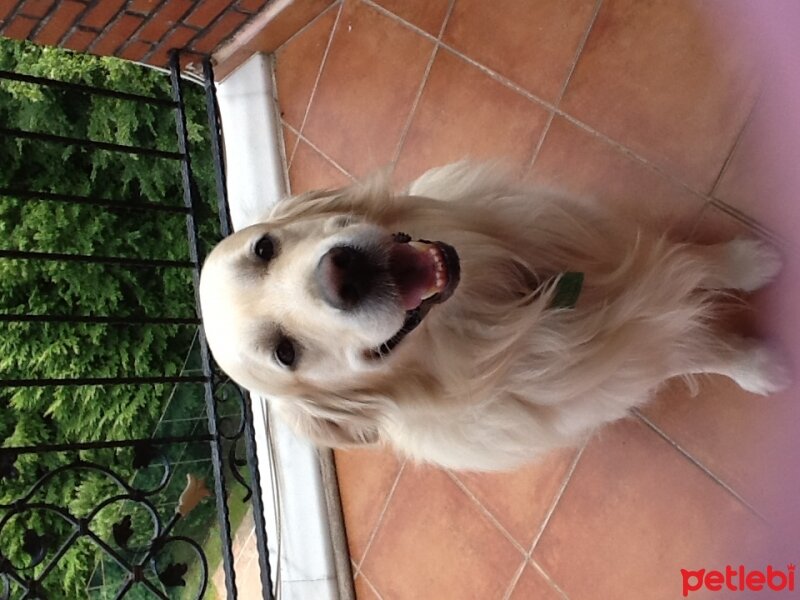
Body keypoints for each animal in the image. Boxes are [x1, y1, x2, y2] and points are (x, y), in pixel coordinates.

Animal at [198, 164, 788, 474]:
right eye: (285, 353)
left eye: (265, 248)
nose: (342, 274)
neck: (508, 303)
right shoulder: (633, 357)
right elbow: (701, 350)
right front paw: (761, 368)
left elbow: (696, 259)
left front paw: (750, 262)